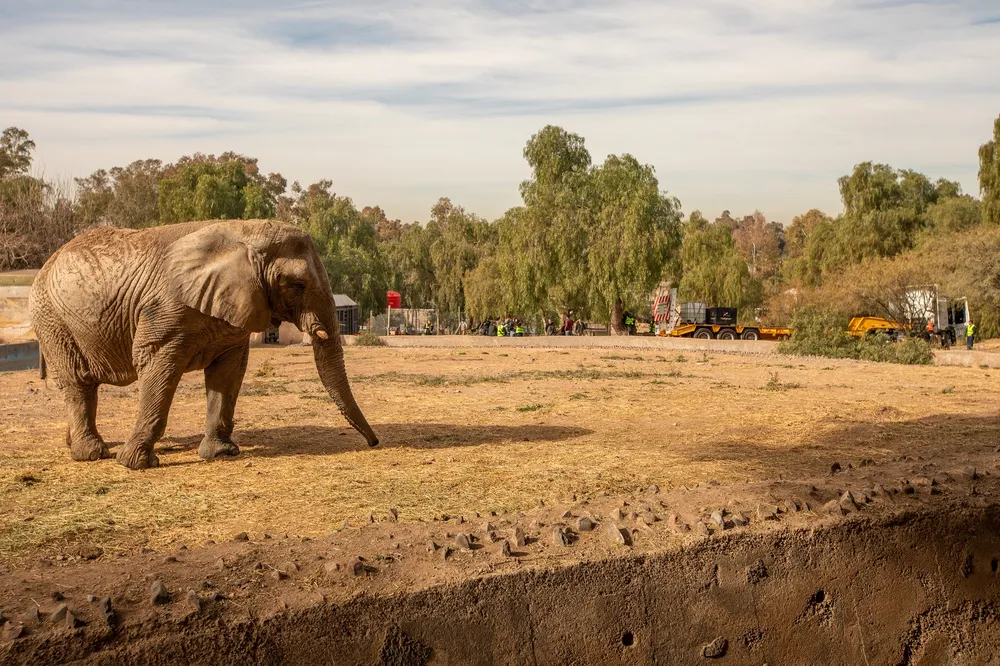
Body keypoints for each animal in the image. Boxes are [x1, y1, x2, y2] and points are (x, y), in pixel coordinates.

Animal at [28, 219, 379, 470]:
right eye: (297, 285)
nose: (374, 443)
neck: (245, 233)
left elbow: (227, 374)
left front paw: (221, 454)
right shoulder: (165, 311)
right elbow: (158, 369)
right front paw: (135, 464)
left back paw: (74, 445)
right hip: (52, 318)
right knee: (78, 381)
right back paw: (91, 454)